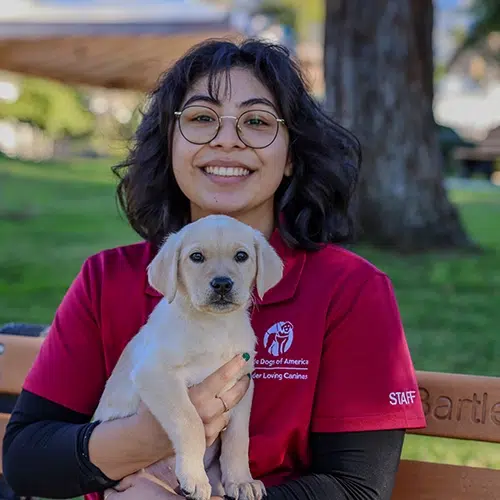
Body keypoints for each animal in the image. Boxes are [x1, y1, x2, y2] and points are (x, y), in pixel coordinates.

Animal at [91, 215, 284, 500]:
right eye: (196, 257)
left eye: (241, 256)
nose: (222, 284)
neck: (214, 326)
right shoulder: (157, 374)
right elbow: (190, 422)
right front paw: (194, 477)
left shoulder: (243, 384)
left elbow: (239, 438)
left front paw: (241, 481)